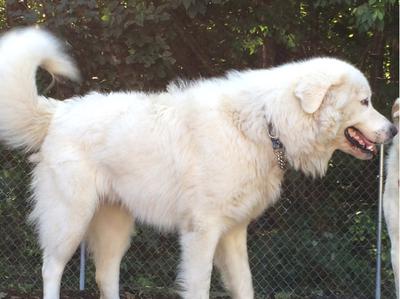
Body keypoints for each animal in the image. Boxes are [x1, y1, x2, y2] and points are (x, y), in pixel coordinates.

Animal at [0, 28, 396, 299]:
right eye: (365, 101)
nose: (393, 129)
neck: (265, 123)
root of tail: (58, 112)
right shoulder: (202, 231)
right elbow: (200, 286)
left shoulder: (233, 232)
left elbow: (245, 286)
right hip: (70, 218)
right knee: (51, 268)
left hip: (116, 225)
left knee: (105, 274)